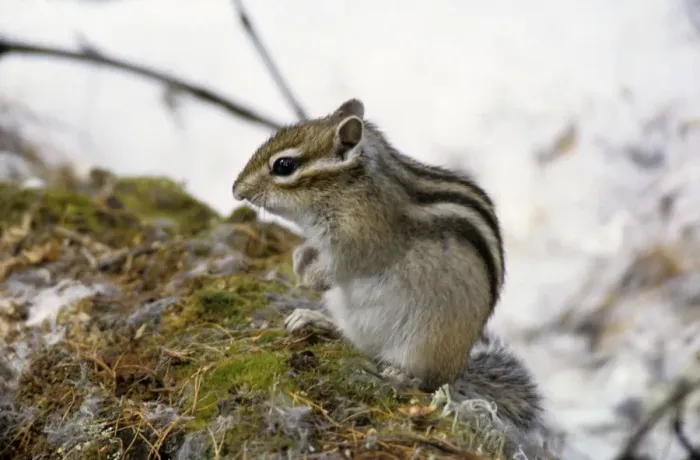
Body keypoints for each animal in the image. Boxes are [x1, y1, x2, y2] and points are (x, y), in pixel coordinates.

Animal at [232, 99, 545, 435]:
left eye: (284, 166)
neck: (349, 188)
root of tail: (458, 369)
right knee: (360, 344)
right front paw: (300, 257)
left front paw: (310, 276)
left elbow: (340, 267)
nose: (236, 190)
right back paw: (314, 320)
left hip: (425, 341)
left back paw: (399, 374)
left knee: (426, 381)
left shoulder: (361, 241)